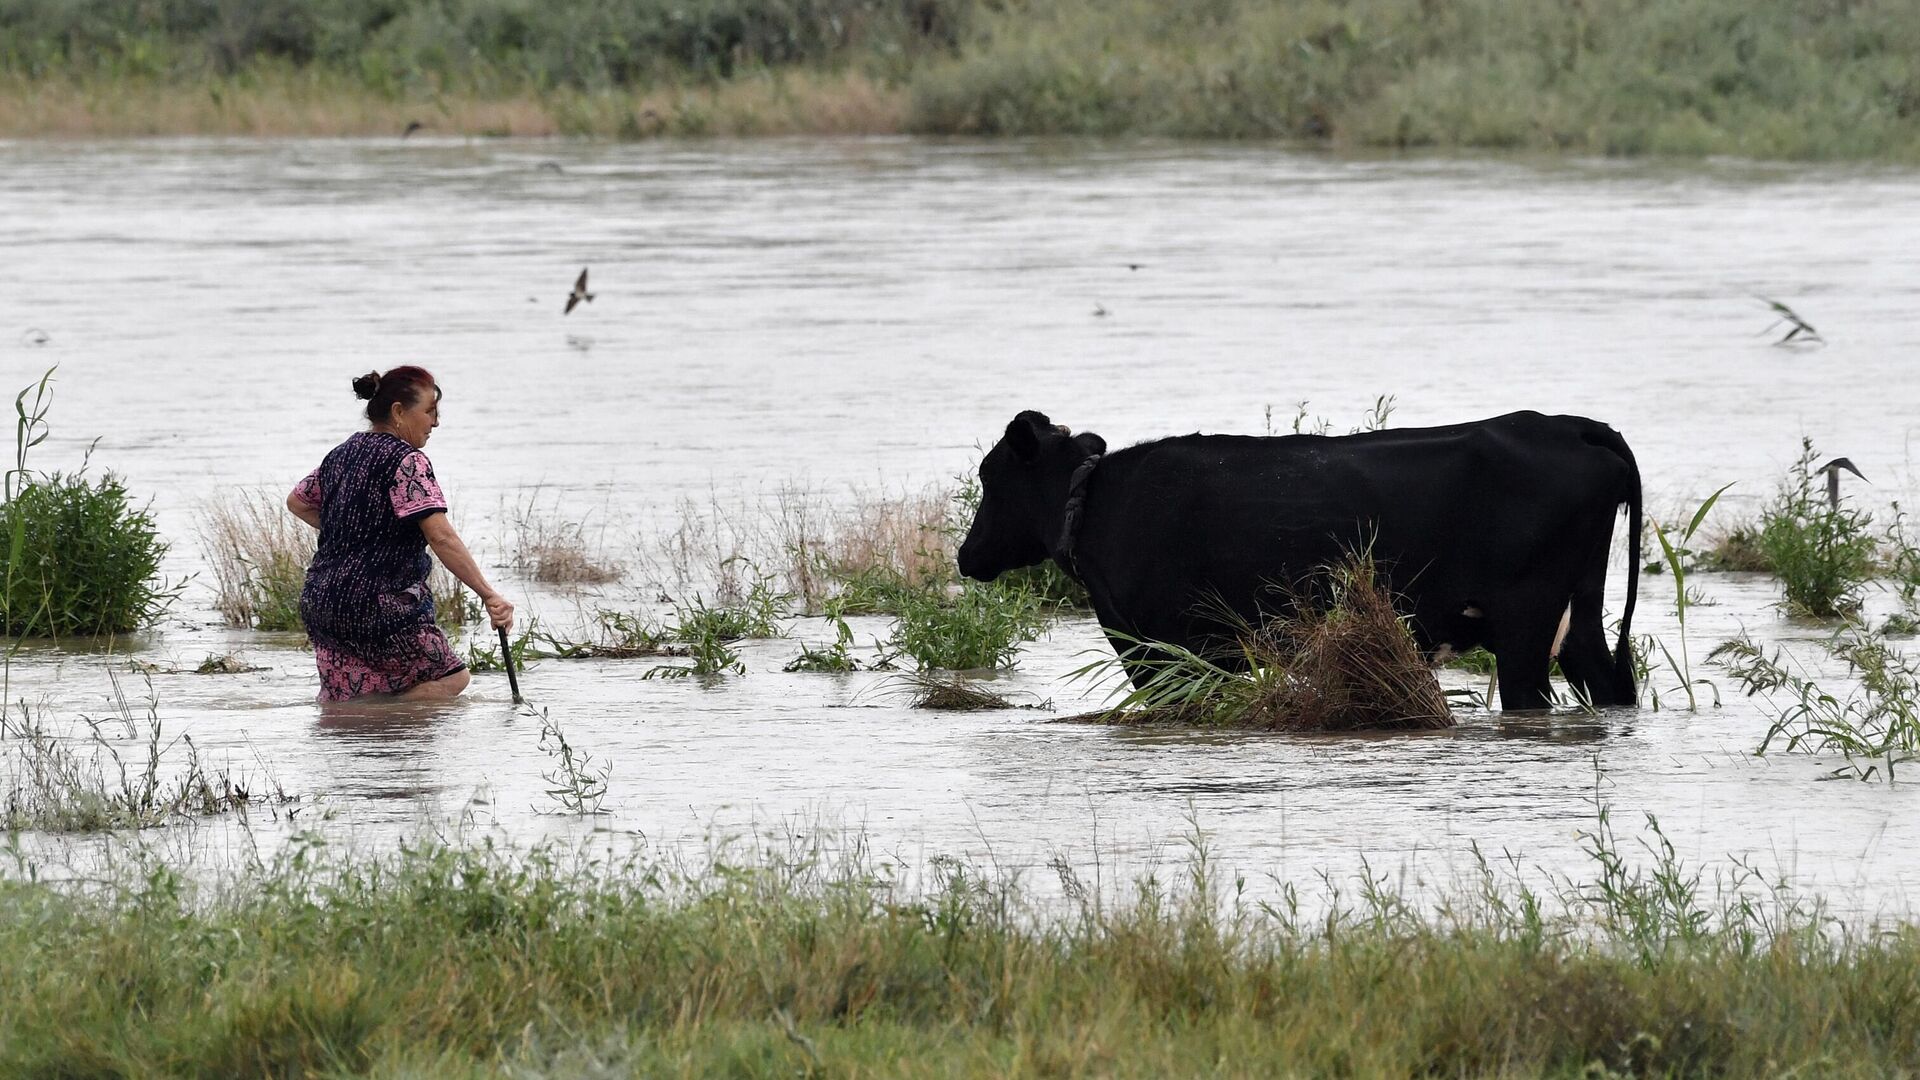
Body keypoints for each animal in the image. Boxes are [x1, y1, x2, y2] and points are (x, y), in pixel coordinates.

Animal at [952, 407, 1643, 711]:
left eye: (990, 476)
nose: (966, 555)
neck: (1096, 501)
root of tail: (1570, 424)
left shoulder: (1159, 649)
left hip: (1526, 622)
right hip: (1578, 615)